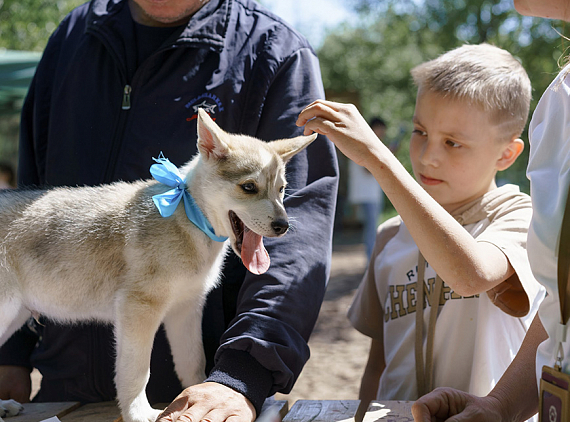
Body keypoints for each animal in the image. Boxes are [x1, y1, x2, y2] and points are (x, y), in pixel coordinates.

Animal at [0, 109, 316, 422]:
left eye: (281, 189)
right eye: (249, 187)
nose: (283, 226)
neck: (190, 216)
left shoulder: (186, 308)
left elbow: (193, 362)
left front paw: (202, 395)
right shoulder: (139, 307)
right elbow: (137, 372)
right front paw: (138, 413)